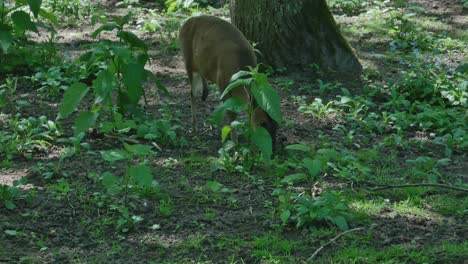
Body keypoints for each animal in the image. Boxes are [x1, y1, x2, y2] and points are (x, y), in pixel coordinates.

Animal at [177, 15, 276, 146]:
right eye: (263, 123)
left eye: (277, 124)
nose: (274, 147)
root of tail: (185, 23)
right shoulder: (222, 83)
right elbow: (230, 113)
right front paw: (234, 143)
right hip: (189, 63)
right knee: (192, 93)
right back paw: (194, 127)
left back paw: (205, 93)